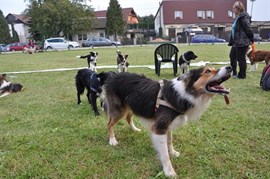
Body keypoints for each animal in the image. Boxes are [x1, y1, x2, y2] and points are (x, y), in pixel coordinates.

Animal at [101, 65, 232, 176]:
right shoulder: (160, 127)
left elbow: (170, 141)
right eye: (208, 71)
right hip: (119, 109)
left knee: (128, 118)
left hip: (133, 105)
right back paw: (112, 140)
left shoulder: (168, 125)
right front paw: (169, 171)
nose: (230, 67)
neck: (184, 93)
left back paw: (134, 129)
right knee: (109, 124)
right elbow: (164, 154)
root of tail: (113, 75)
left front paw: (172, 152)